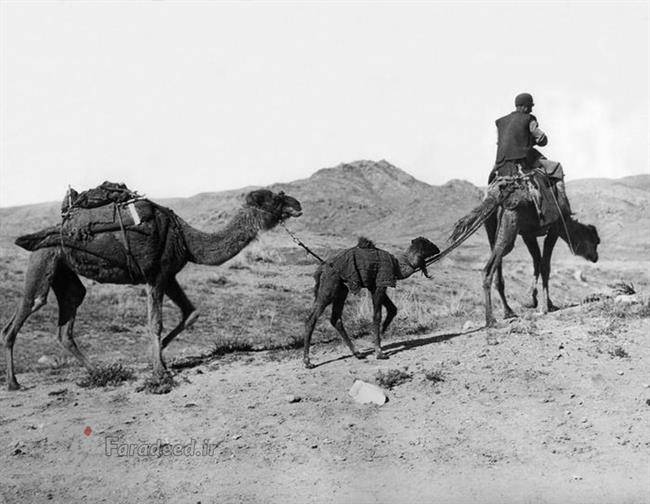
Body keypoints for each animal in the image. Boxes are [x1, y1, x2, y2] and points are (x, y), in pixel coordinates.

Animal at [1, 189, 302, 390]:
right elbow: (155, 323)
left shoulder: (169, 275)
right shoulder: (156, 276)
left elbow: (191, 313)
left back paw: (99, 371)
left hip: (64, 272)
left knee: (67, 319)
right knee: (26, 310)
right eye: (276, 198)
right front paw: (160, 371)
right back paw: (14, 383)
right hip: (44, 259)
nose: (297, 204)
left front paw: (158, 361)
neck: (187, 240)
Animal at [302, 234, 438, 368]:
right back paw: (307, 361)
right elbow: (377, 316)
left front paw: (380, 335)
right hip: (329, 287)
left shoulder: (375, 286)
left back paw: (358, 353)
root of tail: (322, 268)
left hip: (341, 290)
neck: (397, 267)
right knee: (312, 318)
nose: (438, 249)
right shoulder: (380, 284)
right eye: (429, 244)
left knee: (336, 318)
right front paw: (379, 352)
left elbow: (392, 309)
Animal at [450, 171, 596, 326]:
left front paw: (533, 300)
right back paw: (491, 319)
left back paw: (507, 312)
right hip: (510, 224)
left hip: (492, 226)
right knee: (490, 268)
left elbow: (537, 261)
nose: (595, 257)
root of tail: (494, 195)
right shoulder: (554, 229)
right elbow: (545, 265)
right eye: (596, 242)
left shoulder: (528, 233)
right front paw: (544, 306)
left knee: (496, 264)